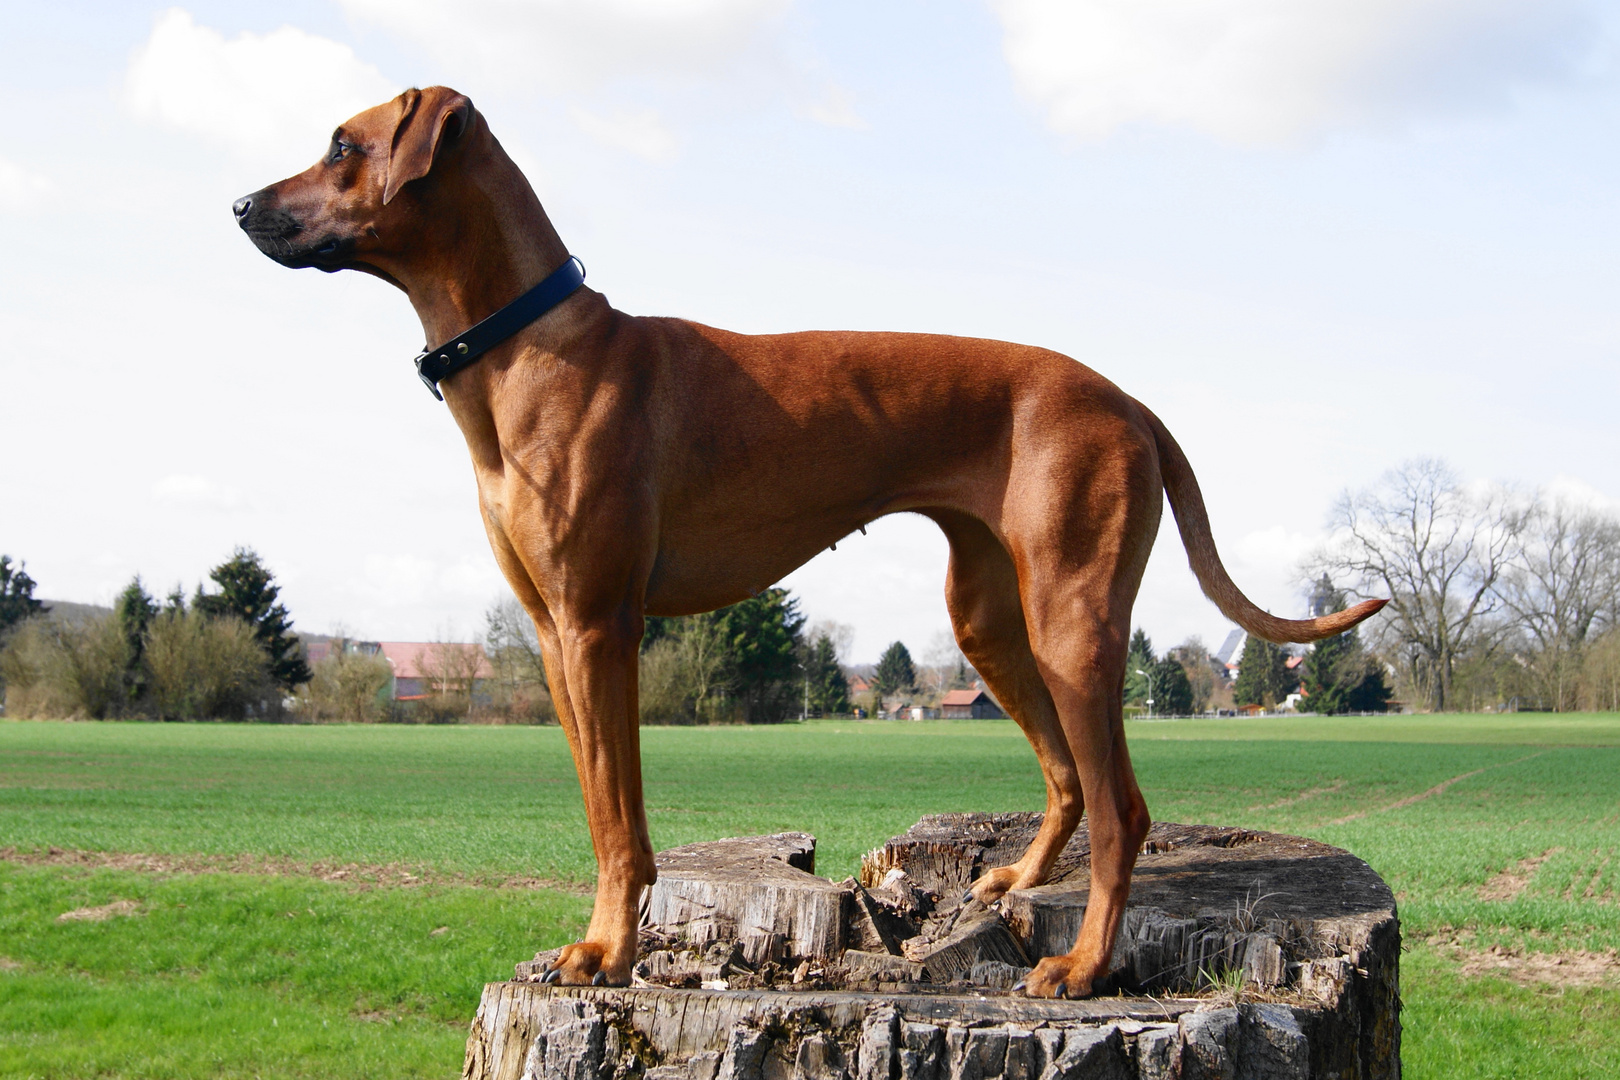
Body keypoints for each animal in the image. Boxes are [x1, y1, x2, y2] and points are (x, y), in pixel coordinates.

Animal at [234, 88, 1386, 1003]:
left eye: (342, 144)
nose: (241, 205)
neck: (530, 348)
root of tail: (1130, 402)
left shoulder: (599, 626)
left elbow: (619, 821)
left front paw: (608, 952)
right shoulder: (553, 634)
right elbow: (604, 809)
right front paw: (608, 940)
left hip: (1073, 620)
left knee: (1122, 810)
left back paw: (1085, 964)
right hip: (991, 619)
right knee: (1066, 779)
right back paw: (1019, 883)